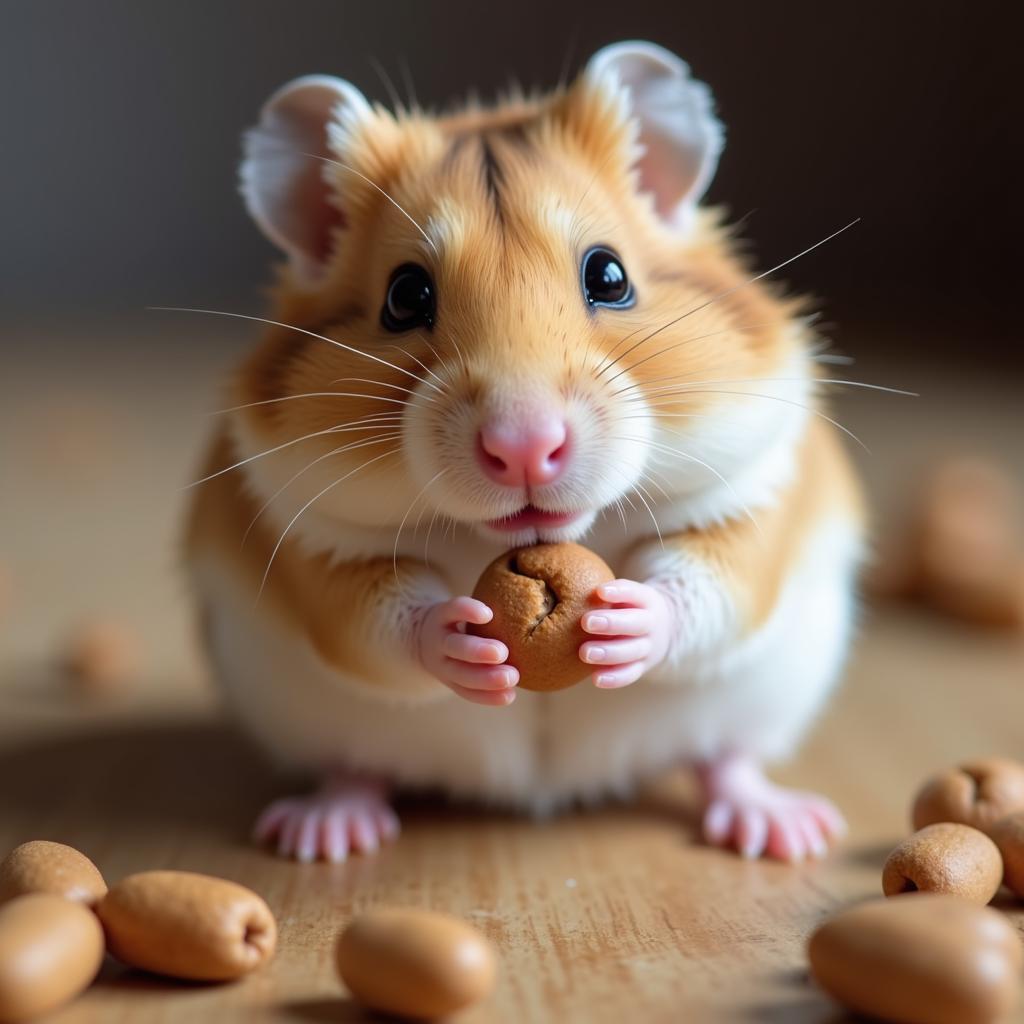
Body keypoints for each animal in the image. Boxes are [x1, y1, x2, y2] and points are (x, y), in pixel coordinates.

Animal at [184, 39, 864, 860]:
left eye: (610, 274)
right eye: (405, 296)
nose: (524, 449)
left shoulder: (758, 489)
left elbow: (709, 579)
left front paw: (623, 621)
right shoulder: (303, 535)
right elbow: (373, 614)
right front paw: (463, 638)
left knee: (723, 757)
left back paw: (784, 830)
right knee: (356, 767)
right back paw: (323, 834)